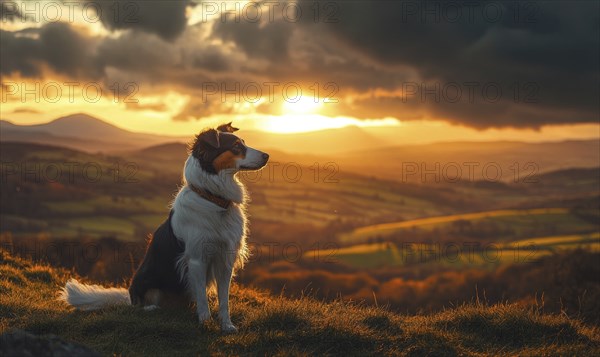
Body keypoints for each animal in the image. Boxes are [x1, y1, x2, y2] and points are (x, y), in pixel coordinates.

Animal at [59, 121, 270, 330]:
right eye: (236, 147)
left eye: (243, 142)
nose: (267, 156)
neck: (213, 200)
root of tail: (130, 296)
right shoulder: (197, 259)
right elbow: (203, 300)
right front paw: (205, 323)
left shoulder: (226, 259)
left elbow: (224, 300)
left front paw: (226, 325)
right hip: (146, 283)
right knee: (140, 306)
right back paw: (152, 309)